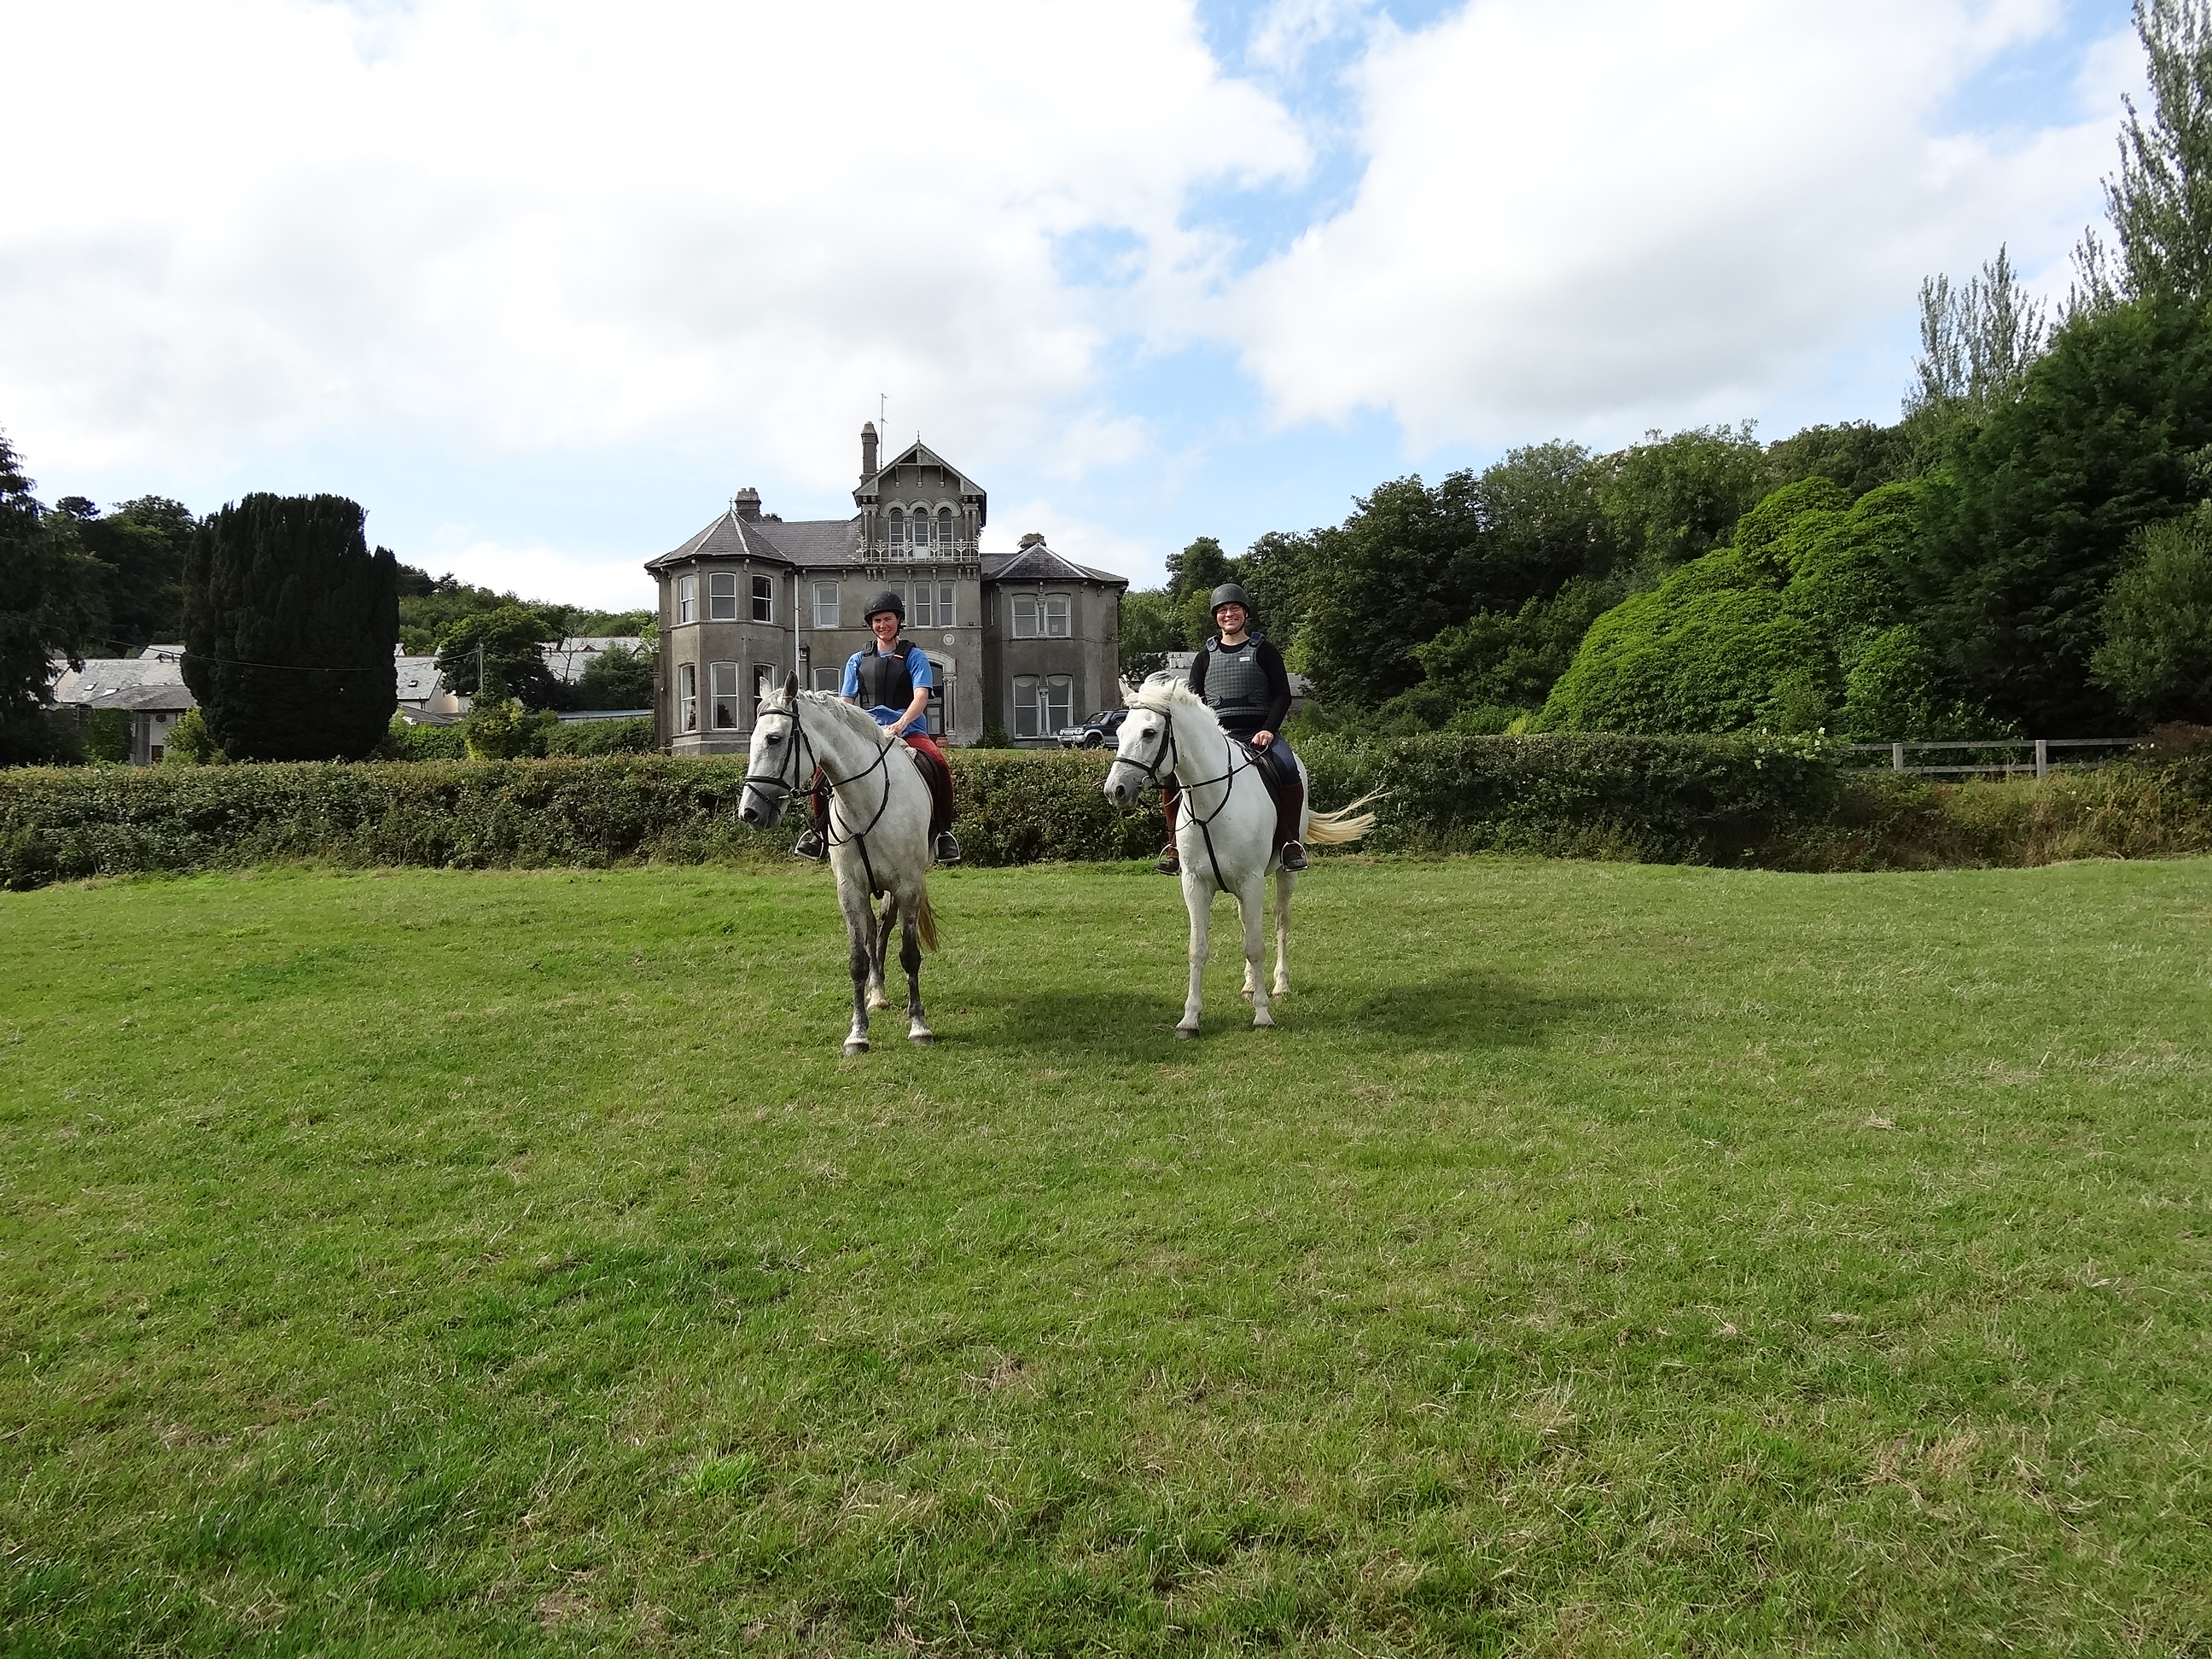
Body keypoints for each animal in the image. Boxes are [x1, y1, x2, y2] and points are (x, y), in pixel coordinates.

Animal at [738, 677, 938, 1057]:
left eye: (774, 739)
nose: (750, 812)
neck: (866, 800)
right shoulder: (849, 890)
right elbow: (858, 960)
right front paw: (858, 1034)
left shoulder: (908, 886)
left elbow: (910, 955)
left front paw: (919, 1027)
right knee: (874, 932)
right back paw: (877, 995)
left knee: (885, 928)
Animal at [1101, 677, 1371, 1039]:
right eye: (1119, 732)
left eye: (1149, 733)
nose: (1115, 791)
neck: (1210, 803)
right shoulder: (1195, 885)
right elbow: (1197, 950)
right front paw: (1189, 1020)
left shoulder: (1252, 882)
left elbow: (1255, 946)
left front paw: (1262, 1015)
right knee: (1247, 923)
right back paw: (1248, 984)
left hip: (1285, 874)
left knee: (1281, 921)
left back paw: (1280, 984)